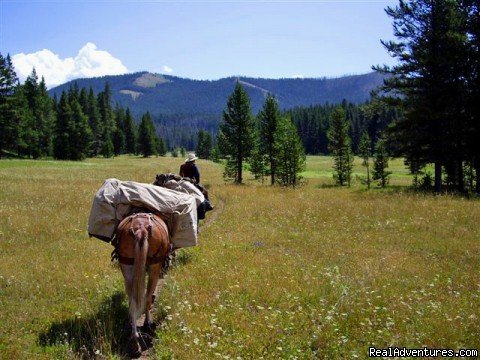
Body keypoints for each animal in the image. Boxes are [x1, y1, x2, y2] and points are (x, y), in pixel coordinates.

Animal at [115, 212, 171, 356]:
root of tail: (141, 228)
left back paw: (135, 341)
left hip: (127, 265)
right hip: (154, 266)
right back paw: (146, 326)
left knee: (133, 302)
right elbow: (148, 295)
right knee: (146, 297)